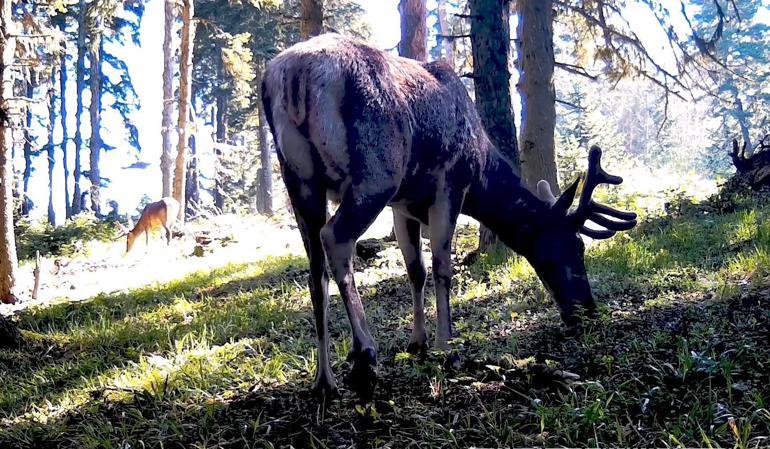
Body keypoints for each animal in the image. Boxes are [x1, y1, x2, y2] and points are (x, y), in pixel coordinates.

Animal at [260, 34, 632, 400]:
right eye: (576, 246)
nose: (587, 309)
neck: (480, 171)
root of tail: (293, 76)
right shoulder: (450, 184)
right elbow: (442, 268)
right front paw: (446, 346)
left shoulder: (403, 204)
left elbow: (416, 270)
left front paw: (418, 342)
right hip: (375, 173)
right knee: (336, 239)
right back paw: (364, 354)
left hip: (300, 181)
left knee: (315, 269)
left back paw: (324, 377)